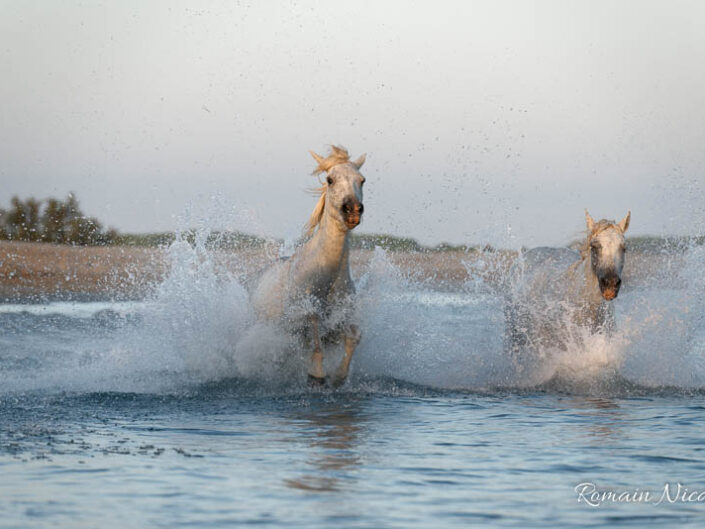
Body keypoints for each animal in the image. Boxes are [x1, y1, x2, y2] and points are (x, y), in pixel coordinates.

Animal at [250, 146, 366, 386]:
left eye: (362, 180)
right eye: (330, 180)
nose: (352, 210)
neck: (325, 277)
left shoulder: (339, 321)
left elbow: (354, 336)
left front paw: (338, 377)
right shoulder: (298, 319)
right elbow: (313, 328)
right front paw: (317, 374)